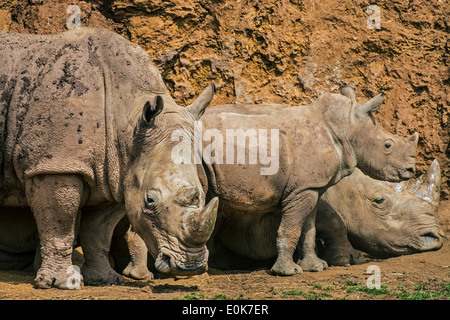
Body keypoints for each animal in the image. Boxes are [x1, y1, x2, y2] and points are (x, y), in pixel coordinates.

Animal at [0, 26, 218, 288]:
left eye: (203, 194)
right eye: (150, 200)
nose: (189, 266)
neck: (128, 122)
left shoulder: (115, 173)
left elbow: (98, 230)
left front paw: (105, 279)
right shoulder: (54, 164)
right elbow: (59, 225)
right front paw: (60, 283)